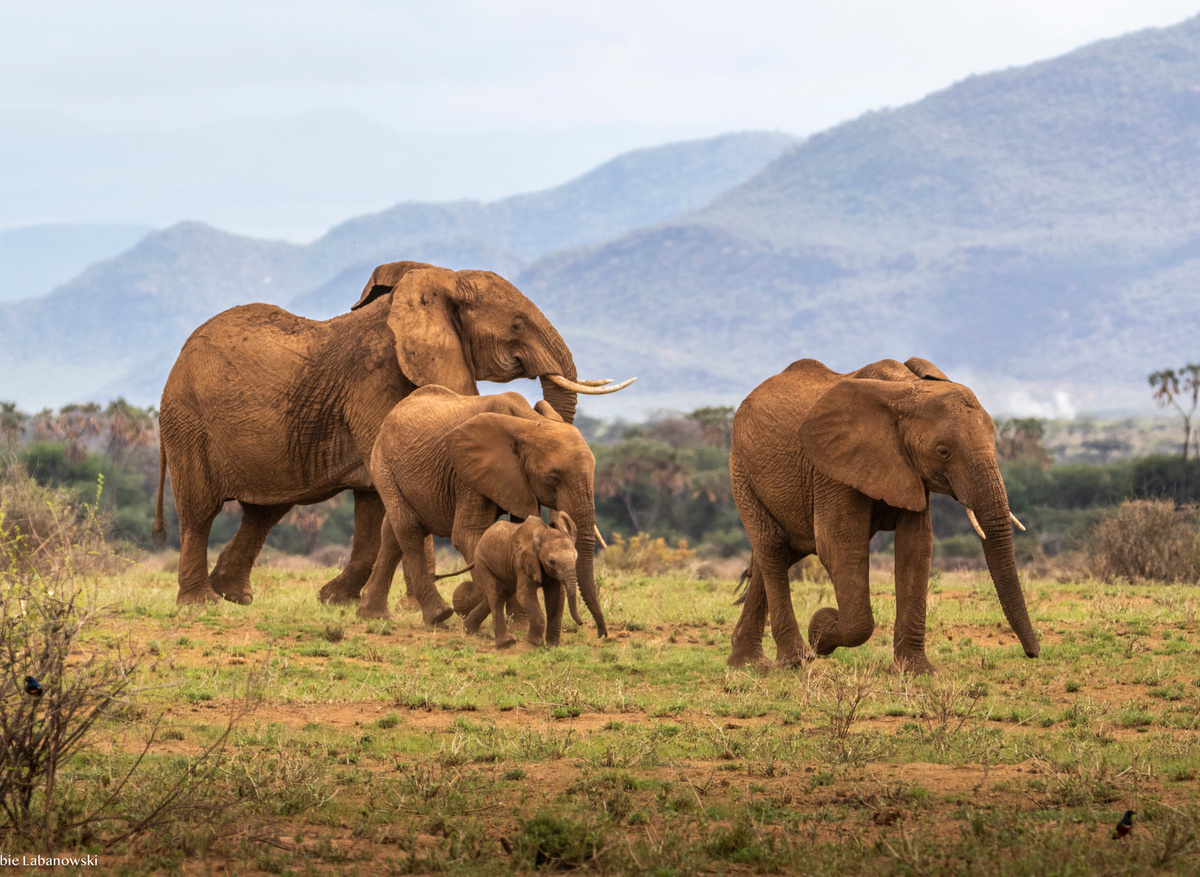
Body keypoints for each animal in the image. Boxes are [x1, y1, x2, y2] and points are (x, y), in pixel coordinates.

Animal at [154, 260, 631, 606]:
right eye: (516, 324)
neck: (441, 281)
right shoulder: (377, 379)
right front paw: (411, 605)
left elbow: (372, 503)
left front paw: (337, 600)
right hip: (186, 420)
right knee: (200, 511)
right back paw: (200, 603)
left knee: (263, 512)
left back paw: (233, 595)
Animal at [456, 513, 580, 648]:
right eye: (552, 561)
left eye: (576, 558)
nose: (581, 623)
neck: (544, 534)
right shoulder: (522, 562)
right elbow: (524, 594)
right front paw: (534, 642)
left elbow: (557, 596)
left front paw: (554, 645)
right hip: (483, 563)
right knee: (496, 596)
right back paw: (507, 642)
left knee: (491, 598)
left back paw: (468, 630)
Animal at [726, 357, 1040, 674]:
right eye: (943, 452)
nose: (1033, 653)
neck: (905, 389)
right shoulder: (832, 471)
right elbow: (838, 548)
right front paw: (821, 628)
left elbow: (916, 546)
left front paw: (915, 671)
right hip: (741, 472)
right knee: (773, 549)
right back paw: (797, 661)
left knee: (778, 553)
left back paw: (747, 663)